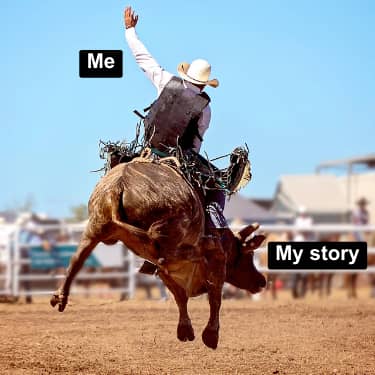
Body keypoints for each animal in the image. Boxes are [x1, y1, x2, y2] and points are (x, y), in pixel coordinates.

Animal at [50, 155, 268, 350]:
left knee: (77, 259)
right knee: (169, 253)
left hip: (94, 228)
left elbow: (180, 296)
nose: (262, 281)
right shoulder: (218, 261)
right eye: (249, 255)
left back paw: (60, 296)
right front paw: (210, 335)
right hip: (163, 232)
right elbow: (214, 296)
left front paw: (185, 329)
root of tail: (118, 187)